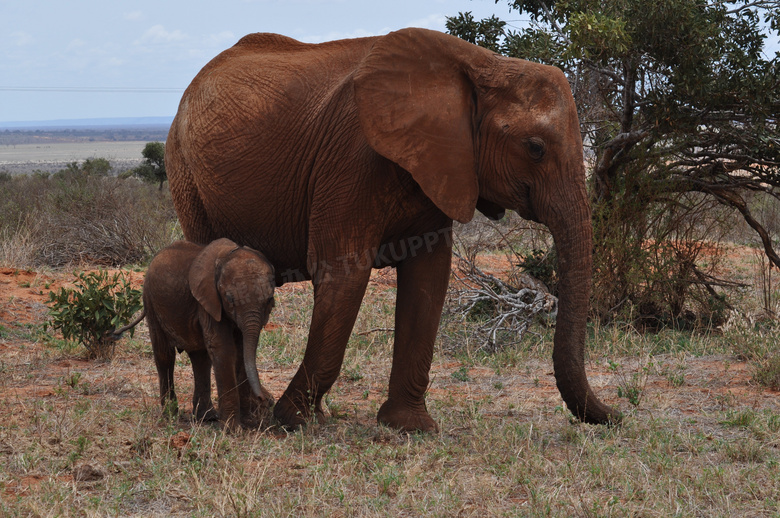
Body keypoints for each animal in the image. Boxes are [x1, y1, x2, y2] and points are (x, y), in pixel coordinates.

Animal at [144, 239, 278, 430]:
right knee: (165, 356)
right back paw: (170, 415)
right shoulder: (208, 301)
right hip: (150, 302)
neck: (227, 255)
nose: (265, 399)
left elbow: (241, 351)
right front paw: (232, 430)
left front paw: (248, 423)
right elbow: (224, 348)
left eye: (269, 300)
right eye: (229, 299)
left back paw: (207, 417)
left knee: (200, 359)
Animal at [168, 27, 620, 434]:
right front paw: (294, 419)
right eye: (535, 148)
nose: (618, 415)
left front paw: (410, 427)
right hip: (187, 173)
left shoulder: (441, 164)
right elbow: (344, 275)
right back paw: (246, 417)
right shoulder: (351, 158)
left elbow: (428, 279)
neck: (481, 64)